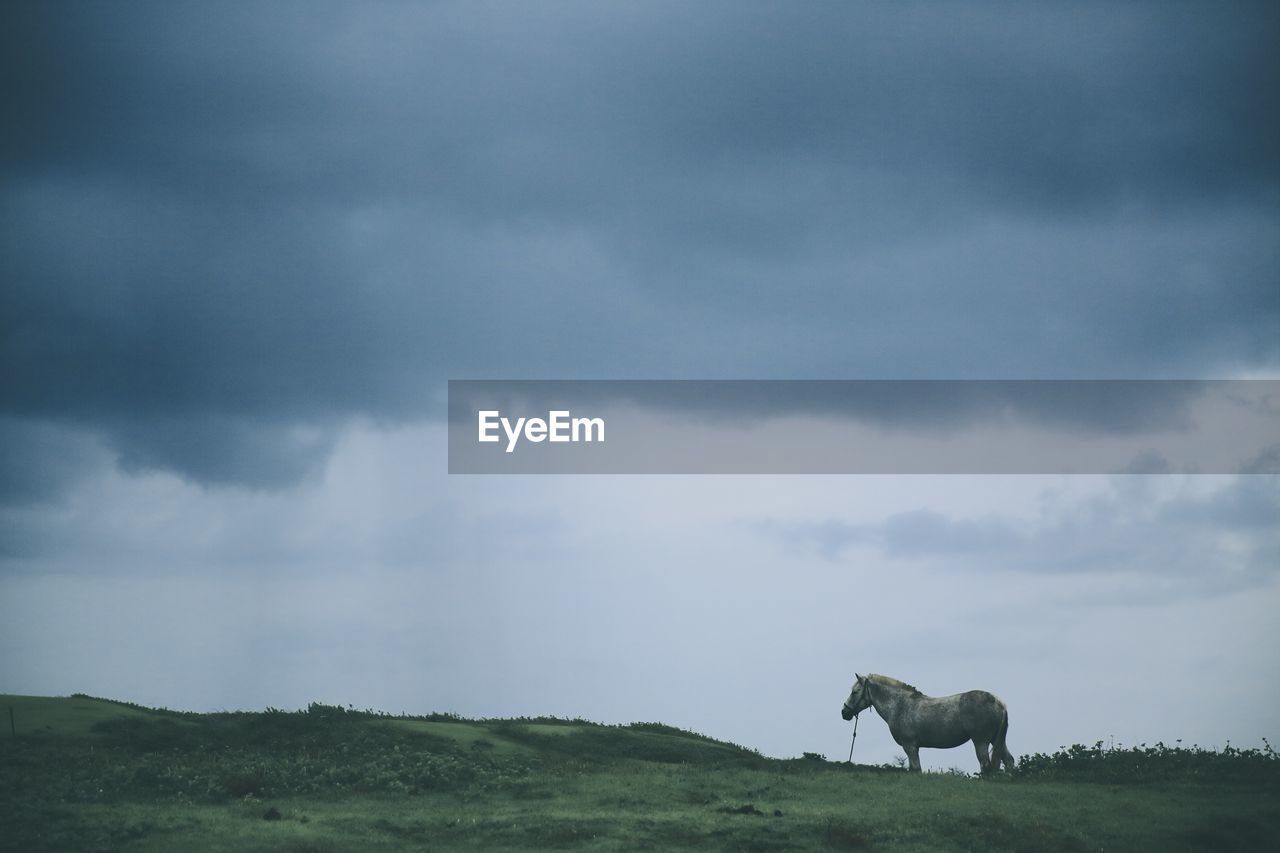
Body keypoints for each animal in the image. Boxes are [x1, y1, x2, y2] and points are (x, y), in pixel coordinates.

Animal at [839, 671, 1018, 768]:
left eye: (855, 692)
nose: (844, 712)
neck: (900, 705)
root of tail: (999, 703)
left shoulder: (910, 746)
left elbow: (916, 769)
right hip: (997, 740)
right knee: (1008, 760)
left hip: (981, 741)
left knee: (985, 765)